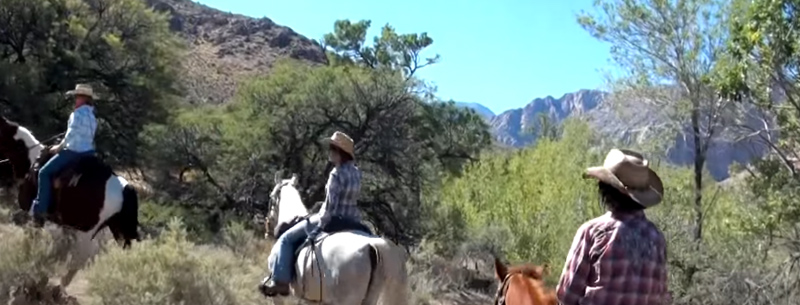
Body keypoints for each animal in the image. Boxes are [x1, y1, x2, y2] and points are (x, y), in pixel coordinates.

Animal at [0, 116, 141, 288]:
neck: (32, 162)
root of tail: (124, 189)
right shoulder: (65, 225)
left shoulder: (35, 215)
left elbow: (33, 239)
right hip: (116, 230)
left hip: (87, 231)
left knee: (84, 254)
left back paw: (62, 283)